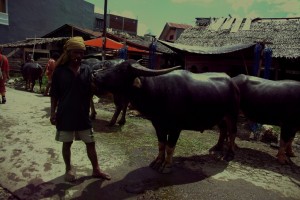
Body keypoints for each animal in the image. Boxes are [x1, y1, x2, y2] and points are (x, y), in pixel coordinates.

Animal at [92, 59, 240, 173]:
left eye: (120, 70)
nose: (94, 74)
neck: (158, 91)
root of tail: (233, 83)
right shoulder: (158, 125)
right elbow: (161, 144)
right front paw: (157, 162)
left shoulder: (176, 128)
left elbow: (170, 146)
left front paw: (167, 166)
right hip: (220, 116)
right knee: (223, 130)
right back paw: (217, 147)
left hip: (232, 114)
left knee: (232, 132)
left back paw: (229, 154)